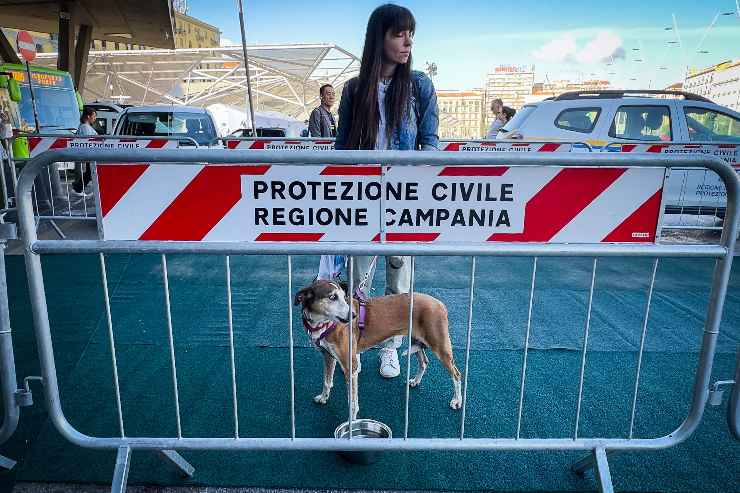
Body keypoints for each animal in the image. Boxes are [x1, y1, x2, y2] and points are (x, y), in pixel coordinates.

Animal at [294, 278, 462, 418]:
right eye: (332, 297)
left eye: (343, 296)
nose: (353, 315)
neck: (322, 323)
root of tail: (440, 304)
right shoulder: (328, 356)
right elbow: (327, 381)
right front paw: (323, 397)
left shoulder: (350, 367)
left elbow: (352, 402)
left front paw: (351, 423)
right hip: (416, 340)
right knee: (424, 362)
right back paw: (415, 381)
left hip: (440, 346)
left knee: (456, 374)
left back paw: (457, 401)